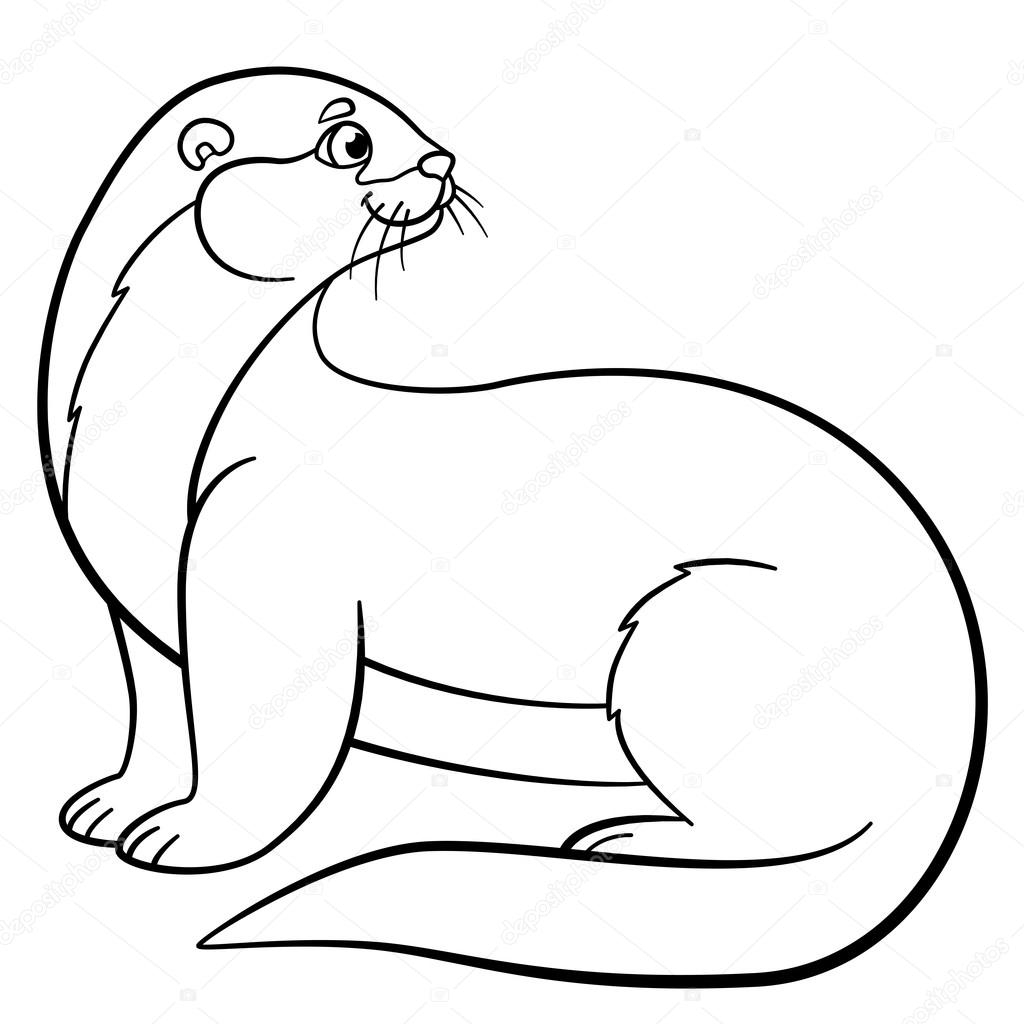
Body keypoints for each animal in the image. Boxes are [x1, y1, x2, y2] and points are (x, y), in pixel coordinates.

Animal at [40, 68, 984, 984]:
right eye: (352, 140)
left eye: (408, 125)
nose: (443, 161)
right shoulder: (135, 609)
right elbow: (159, 713)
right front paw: (116, 803)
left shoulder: (269, 557)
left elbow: (262, 736)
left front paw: (193, 836)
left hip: (699, 631)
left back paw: (630, 840)